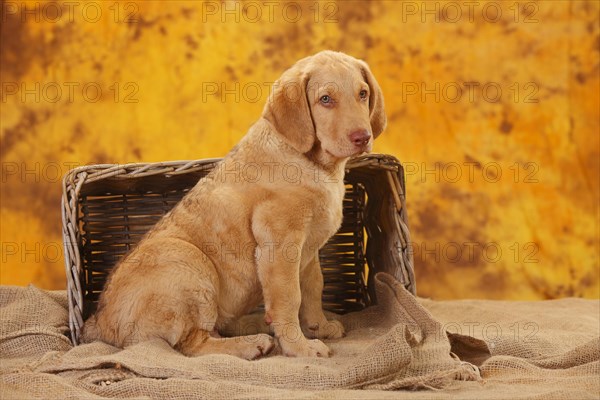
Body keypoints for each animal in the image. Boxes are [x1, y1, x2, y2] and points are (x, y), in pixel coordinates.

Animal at [82, 50, 386, 360]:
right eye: (325, 99)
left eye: (362, 94)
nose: (362, 137)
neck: (317, 165)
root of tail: (97, 323)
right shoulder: (280, 245)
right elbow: (290, 298)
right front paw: (299, 347)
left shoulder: (309, 250)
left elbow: (313, 288)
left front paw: (318, 327)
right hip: (187, 261)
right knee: (192, 345)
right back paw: (252, 343)